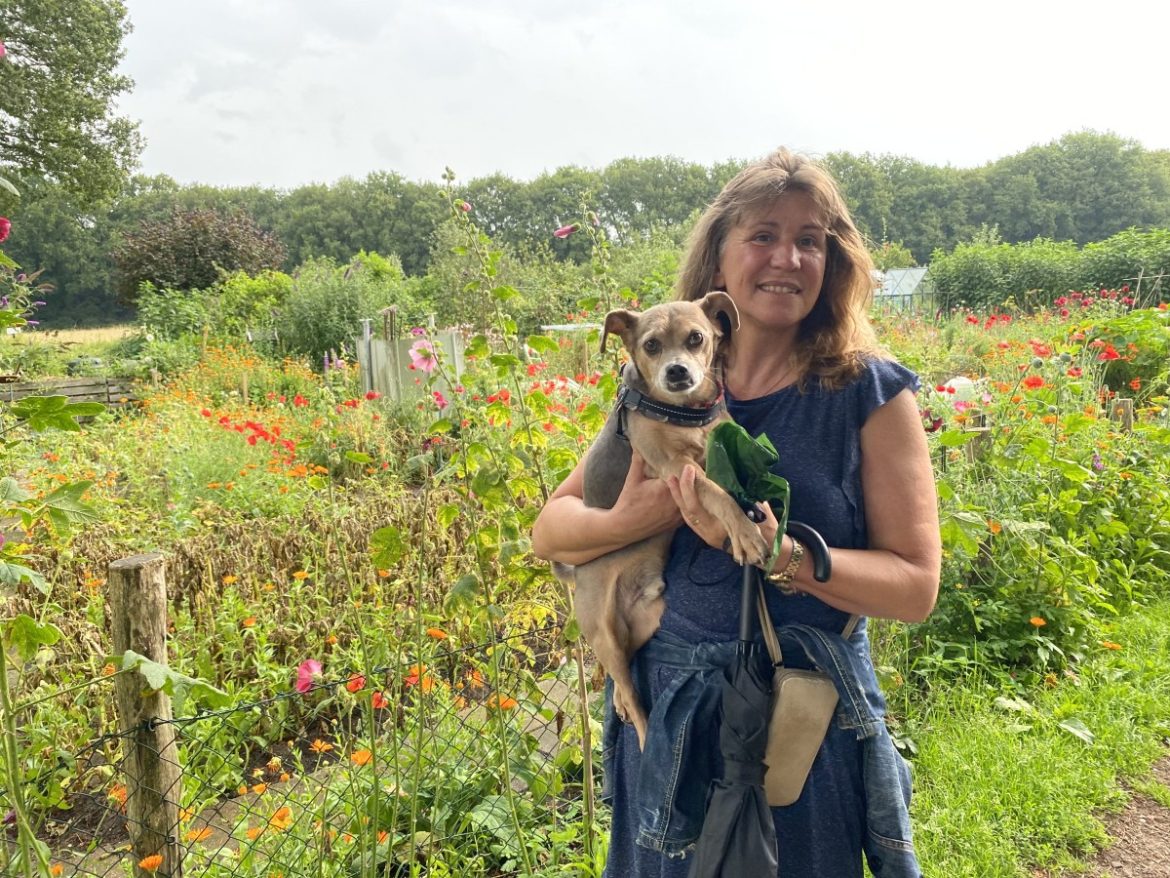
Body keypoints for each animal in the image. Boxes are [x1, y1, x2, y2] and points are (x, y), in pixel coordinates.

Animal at [554, 293, 767, 749]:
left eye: (696, 338)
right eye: (651, 345)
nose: (677, 371)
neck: (684, 414)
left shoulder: (719, 439)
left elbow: (735, 463)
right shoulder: (675, 470)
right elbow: (717, 492)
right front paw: (744, 531)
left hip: (644, 623)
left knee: (626, 676)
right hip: (603, 634)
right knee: (633, 698)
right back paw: (643, 733)